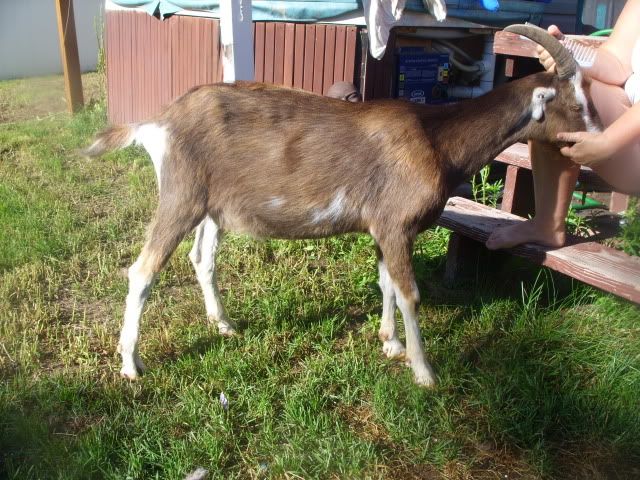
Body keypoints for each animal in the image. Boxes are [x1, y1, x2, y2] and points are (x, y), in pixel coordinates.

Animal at [84, 25, 599, 386]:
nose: (593, 143)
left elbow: (386, 282)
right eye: (576, 104)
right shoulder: (396, 224)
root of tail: (157, 122)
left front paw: (390, 343)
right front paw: (424, 372)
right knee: (142, 271)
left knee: (201, 259)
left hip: (211, 207)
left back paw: (224, 324)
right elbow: (409, 293)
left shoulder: (383, 227)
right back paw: (131, 364)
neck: (437, 138)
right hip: (180, 196)